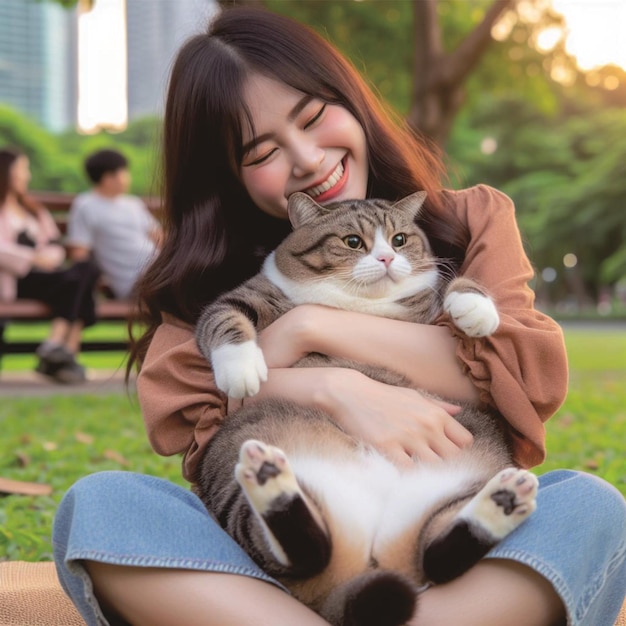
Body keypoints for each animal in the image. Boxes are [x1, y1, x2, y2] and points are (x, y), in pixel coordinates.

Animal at [195, 191, 536, 624]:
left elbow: (457, 282)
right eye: (353, 242)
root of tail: (370, 560)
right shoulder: (249, 297)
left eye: (400, 239)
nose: (387, 258)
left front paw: (478, 311)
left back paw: (501, 502)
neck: (361, 303)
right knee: (304, 554)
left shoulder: (427, 309)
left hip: (471, 472)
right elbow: (224, 317)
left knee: (434, 558)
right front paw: (240, 370)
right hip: (233, 454)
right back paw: (269, 478)